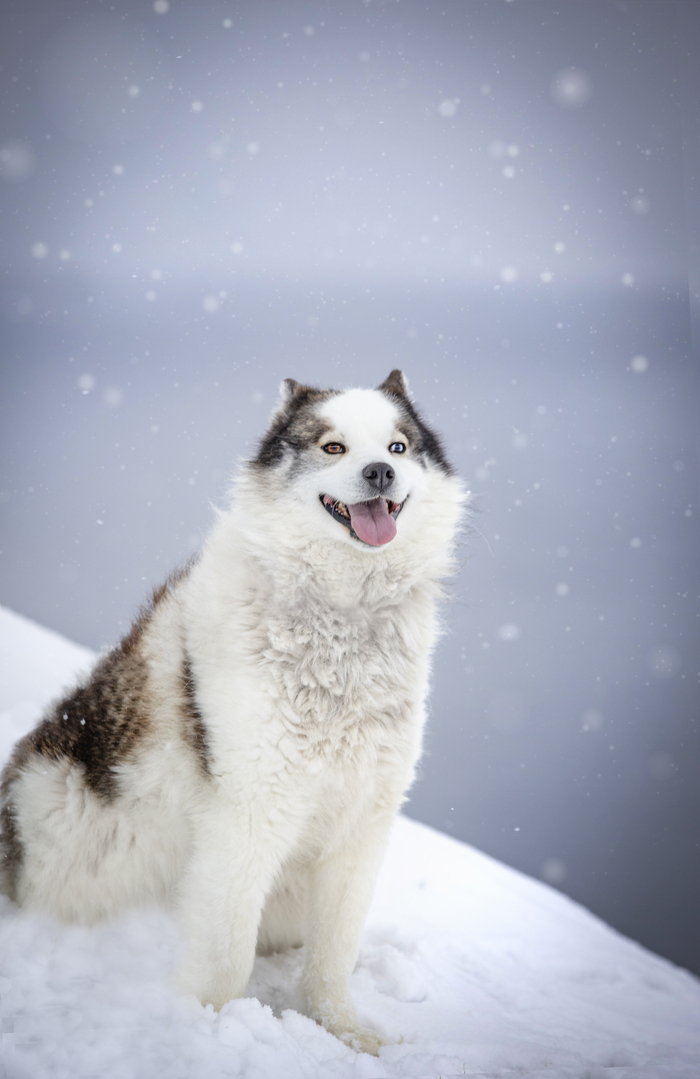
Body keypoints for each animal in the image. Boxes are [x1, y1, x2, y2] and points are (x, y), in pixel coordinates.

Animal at [0, 371, 463, 1053]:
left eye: (398, 447)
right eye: (332, 447)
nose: (380, 471)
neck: (339, 620)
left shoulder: (361, 826)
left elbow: (332, 958)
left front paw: (346, 1035)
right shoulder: (247, 818)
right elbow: (226, 953)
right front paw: (205, 1028)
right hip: (55, 806)